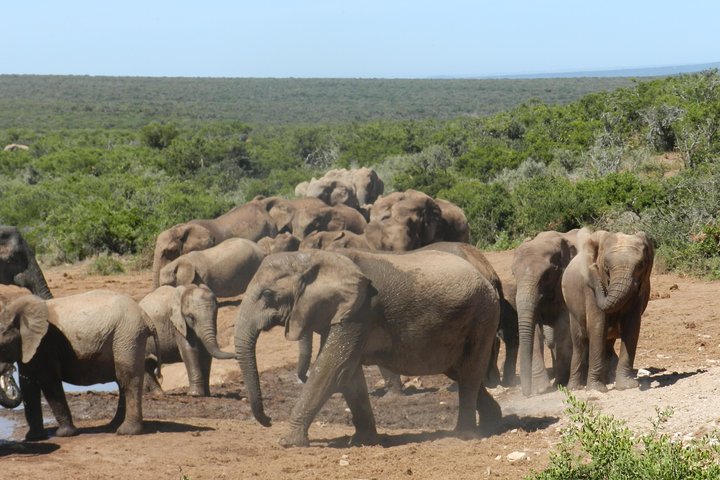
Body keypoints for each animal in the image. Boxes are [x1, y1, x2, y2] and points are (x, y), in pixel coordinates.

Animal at [0, 290, 157, 440]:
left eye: (2, 346)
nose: (9, 371)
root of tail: (145, 315)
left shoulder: (45, 343)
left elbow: (49, 382)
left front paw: (65, 434)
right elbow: (28, 384)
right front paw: (34, 438)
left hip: (128, 336)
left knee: (127, 378)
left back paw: (126, 431)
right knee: (121, 381)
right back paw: (113, 426)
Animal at [234, 249, 502, 447]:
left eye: (268, 294)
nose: (269, 420)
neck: (317, 257)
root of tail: (485, 275)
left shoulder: (361, 311)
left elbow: (331, 368)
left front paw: (287, 442)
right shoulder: (344, 314)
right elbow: (349, 375)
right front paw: (363, 441)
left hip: (483, 315)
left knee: (469, 373)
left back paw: (464, 436)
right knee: (460, 372)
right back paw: (494, 424)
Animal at [512, 229, 579, 397]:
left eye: (547, 276)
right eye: (513, 274)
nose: (526, 394)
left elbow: (564, 326)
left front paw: (560, 383)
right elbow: (535, 329)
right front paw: (540, 389)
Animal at [562, 229, 654, 392]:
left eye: (641, 265)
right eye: (605, 267)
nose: (592, 267)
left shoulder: (640, 290)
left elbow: (632, 327)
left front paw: (627, 386)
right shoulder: (589, 293)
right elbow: (598, 326)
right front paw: (596, 389)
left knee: (607, 342)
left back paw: (607, 379)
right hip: (572, 309)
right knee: (579, 342)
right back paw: (574, 388)